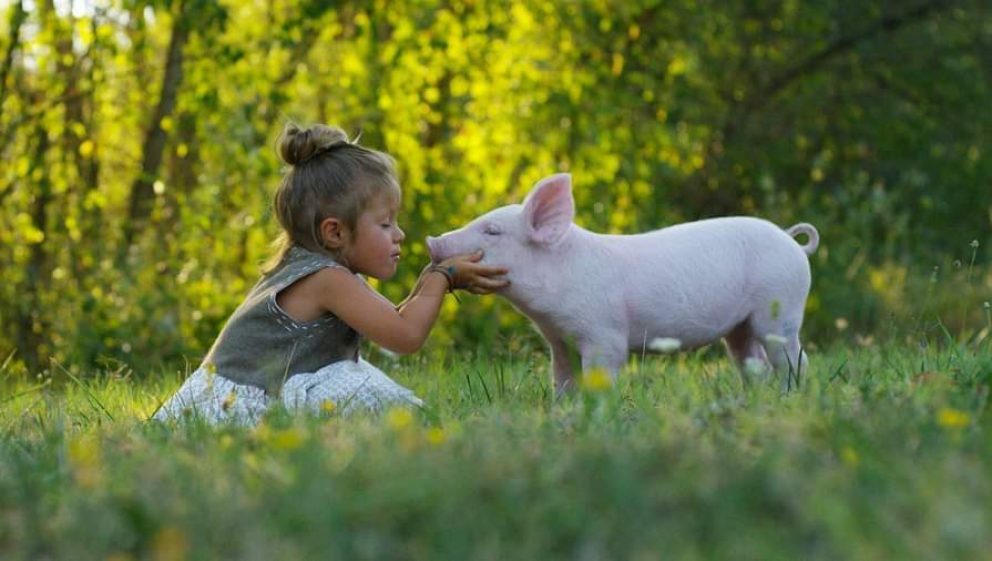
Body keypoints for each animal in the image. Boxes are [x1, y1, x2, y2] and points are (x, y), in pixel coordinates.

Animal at [426, 173, 820, 392]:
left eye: (492, 231)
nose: (432, 241)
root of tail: (791, 240)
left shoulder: (604, 334)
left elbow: (603, 374)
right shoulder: (559, 341)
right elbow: (562, 381)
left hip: (781, 308)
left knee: (793, 360)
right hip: (740, 327)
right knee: (752, 362)